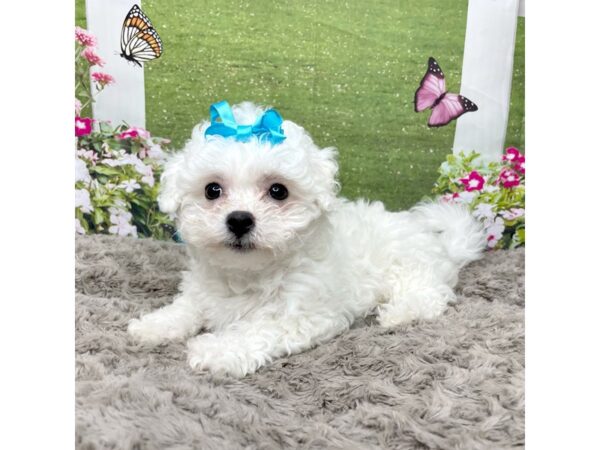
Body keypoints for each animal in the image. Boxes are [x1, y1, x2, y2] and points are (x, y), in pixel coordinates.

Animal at [127, 101, 488, 376]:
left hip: (412, 268)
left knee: (430, 295)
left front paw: (217, 350)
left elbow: (258, 330)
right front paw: (154, 325)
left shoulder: (306, 314)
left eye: (278, 191)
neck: (249, 274)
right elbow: (187, 307)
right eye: (212, 190)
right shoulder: (203, 290)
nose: (240, 219)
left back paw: (398, 313)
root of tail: (441, 244)